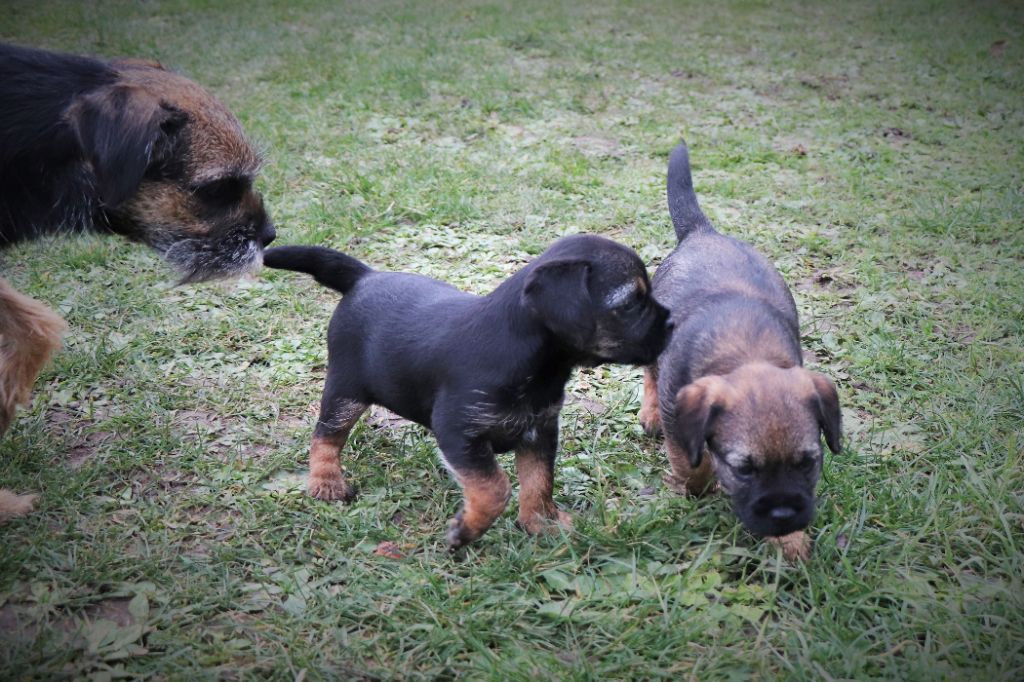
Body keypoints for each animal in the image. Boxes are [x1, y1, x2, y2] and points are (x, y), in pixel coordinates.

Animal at [264, 235, 671, 548]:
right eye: (631, 303)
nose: (672, 322)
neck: (529, 358)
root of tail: (365, 277)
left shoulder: (539, 432)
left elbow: (539, 483)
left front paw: (543, 524)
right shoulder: (459, 433)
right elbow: (494, 488)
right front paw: (467, 530)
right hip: (345, 390)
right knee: (326, 434)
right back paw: (326, 481)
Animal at [638, 140, 839, 561]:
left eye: (808, 463)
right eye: (744, 469)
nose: (783, 515)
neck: (748, 353)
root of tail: (703, 232)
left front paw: (789, 542)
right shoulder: (679, 416)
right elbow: (691, 462)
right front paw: (697, 487)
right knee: (649, 372)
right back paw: (649, 413)